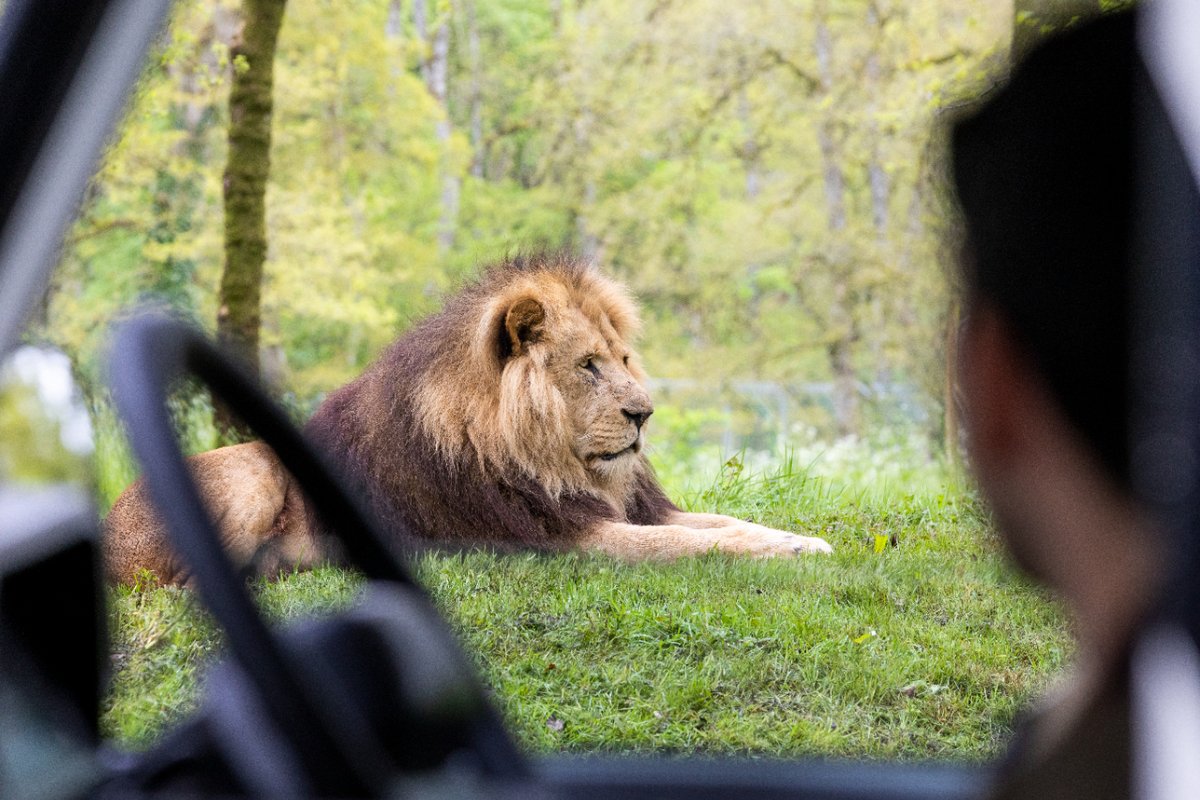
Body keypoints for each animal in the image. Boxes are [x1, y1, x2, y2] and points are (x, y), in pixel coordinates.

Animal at [103, 253, 830, 585]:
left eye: (625, 359)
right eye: (588, 366)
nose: (644, 413)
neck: (552, 463)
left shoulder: (628, 509)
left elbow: (725, 523)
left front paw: (806, 542)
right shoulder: (560, 539)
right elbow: (692, 544)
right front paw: (786, 551)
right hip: (251, 474)